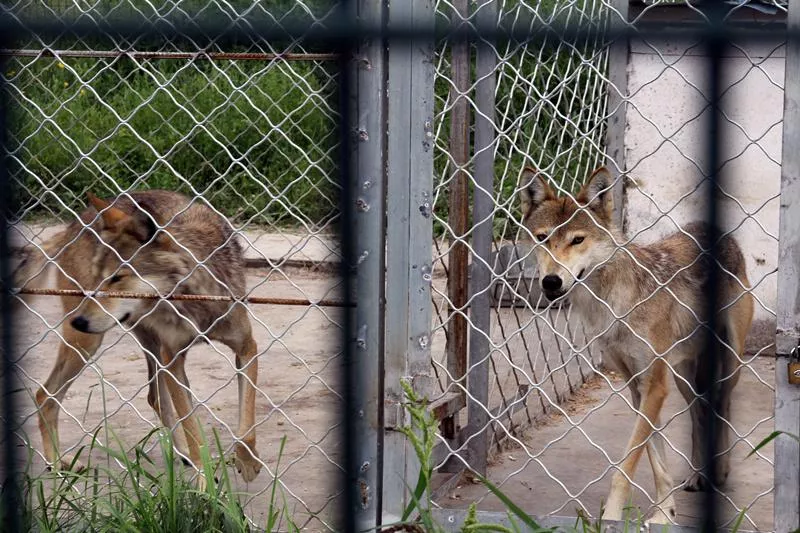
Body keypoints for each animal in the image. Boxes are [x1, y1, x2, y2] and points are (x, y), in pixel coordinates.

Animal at [12, 191, 262, 482]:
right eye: (98, 277)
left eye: (117, 278)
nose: (78, 321)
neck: (192, 300)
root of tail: (72, 226)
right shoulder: (174, 358)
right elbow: (193, 430)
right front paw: (206, 482)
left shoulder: (246, 348)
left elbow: (247, 420)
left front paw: (247, 461)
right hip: (89, 345)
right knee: (45, 395)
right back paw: (55, 464)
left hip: (149, 349)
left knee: (155, 397)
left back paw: (181, 455)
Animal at [520, 169, 752, 524]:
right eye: (542, 237)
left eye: (577, 240)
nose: (551, 281)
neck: (612, 305)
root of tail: (716, 231)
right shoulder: (639, 386)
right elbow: (655, 458)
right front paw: (665, 513)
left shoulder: (654, 386)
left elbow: (627, 464)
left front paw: (614, 517)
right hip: (684, 377)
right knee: (699, 413)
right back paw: (698, 476)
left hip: (730, 364)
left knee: (722, 405)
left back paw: (721, 472)